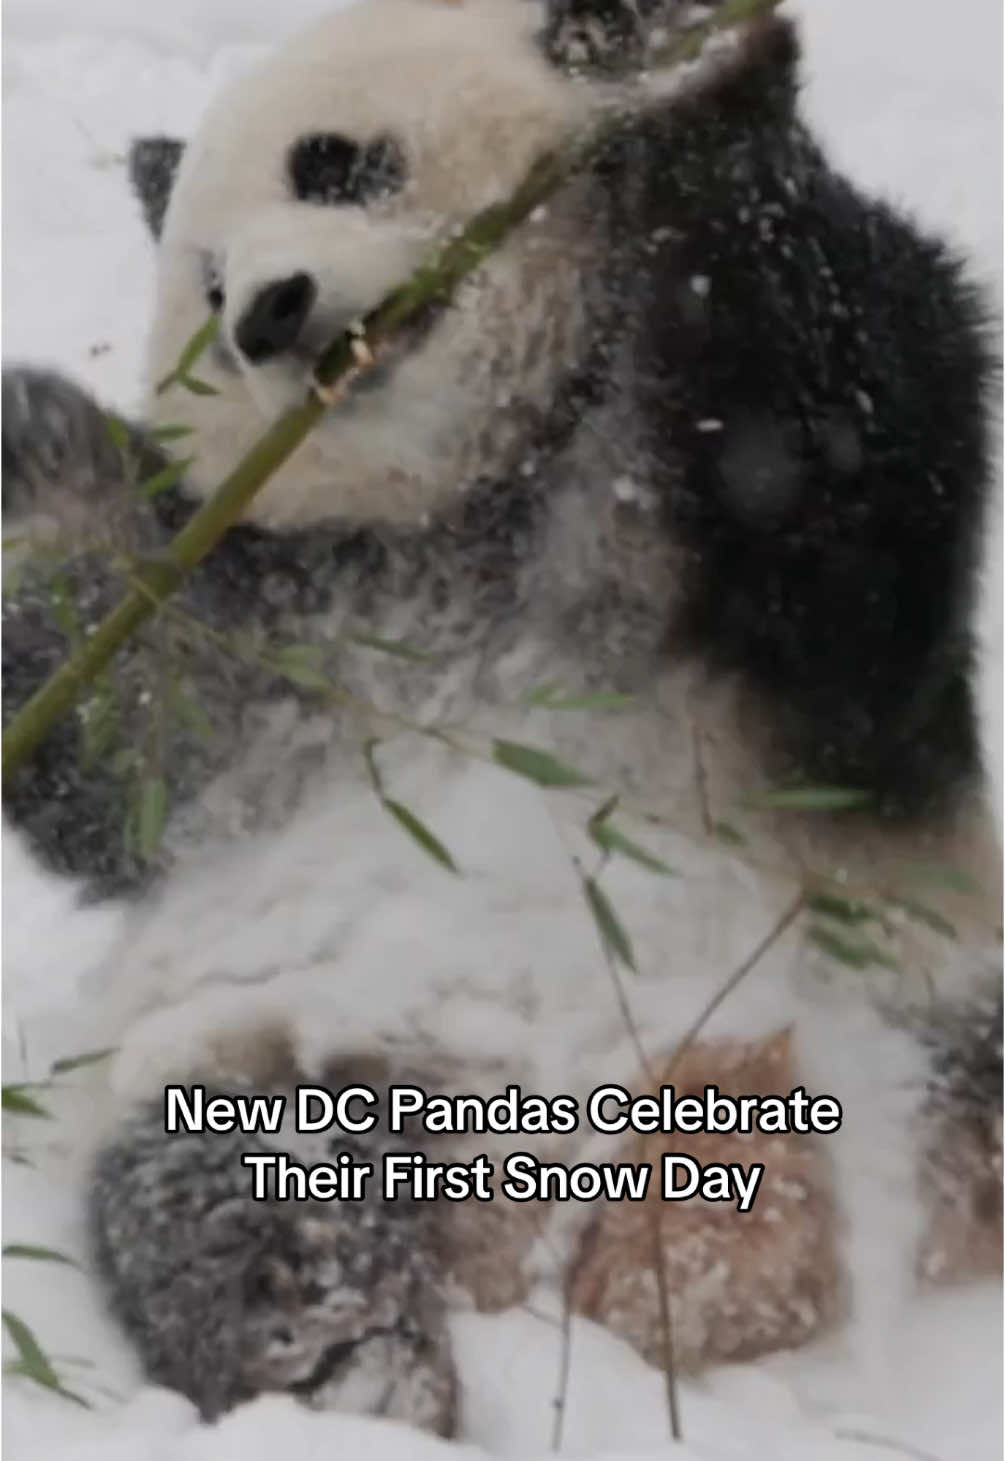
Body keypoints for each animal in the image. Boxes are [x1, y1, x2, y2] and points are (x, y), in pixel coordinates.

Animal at [3, 0, 999, 1443]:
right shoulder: (292, 635)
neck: (482, 496)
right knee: (222, 1179)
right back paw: (341, 1360)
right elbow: (116, 709)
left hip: (930, 1017)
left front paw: (706, 82)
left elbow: (839, 462)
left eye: (335, 164)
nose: (269, 314)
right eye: (205, 286)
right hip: (305, 1060)